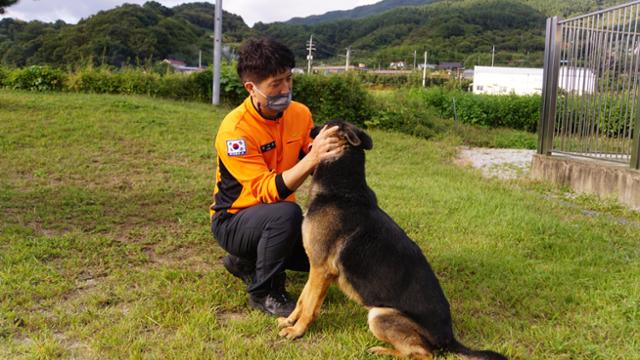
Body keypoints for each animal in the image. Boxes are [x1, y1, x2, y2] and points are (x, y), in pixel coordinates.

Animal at [278, 119, 508, 358]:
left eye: (324, 125)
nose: (310, 129)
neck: (341, 189)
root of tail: (449, 339)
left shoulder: (321, 269)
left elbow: (309, 305)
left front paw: (297, 331)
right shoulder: (316, 267)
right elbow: (303, 299)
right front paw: (288, 321)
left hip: (379, 316)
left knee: (422, 354)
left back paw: (382, 350)